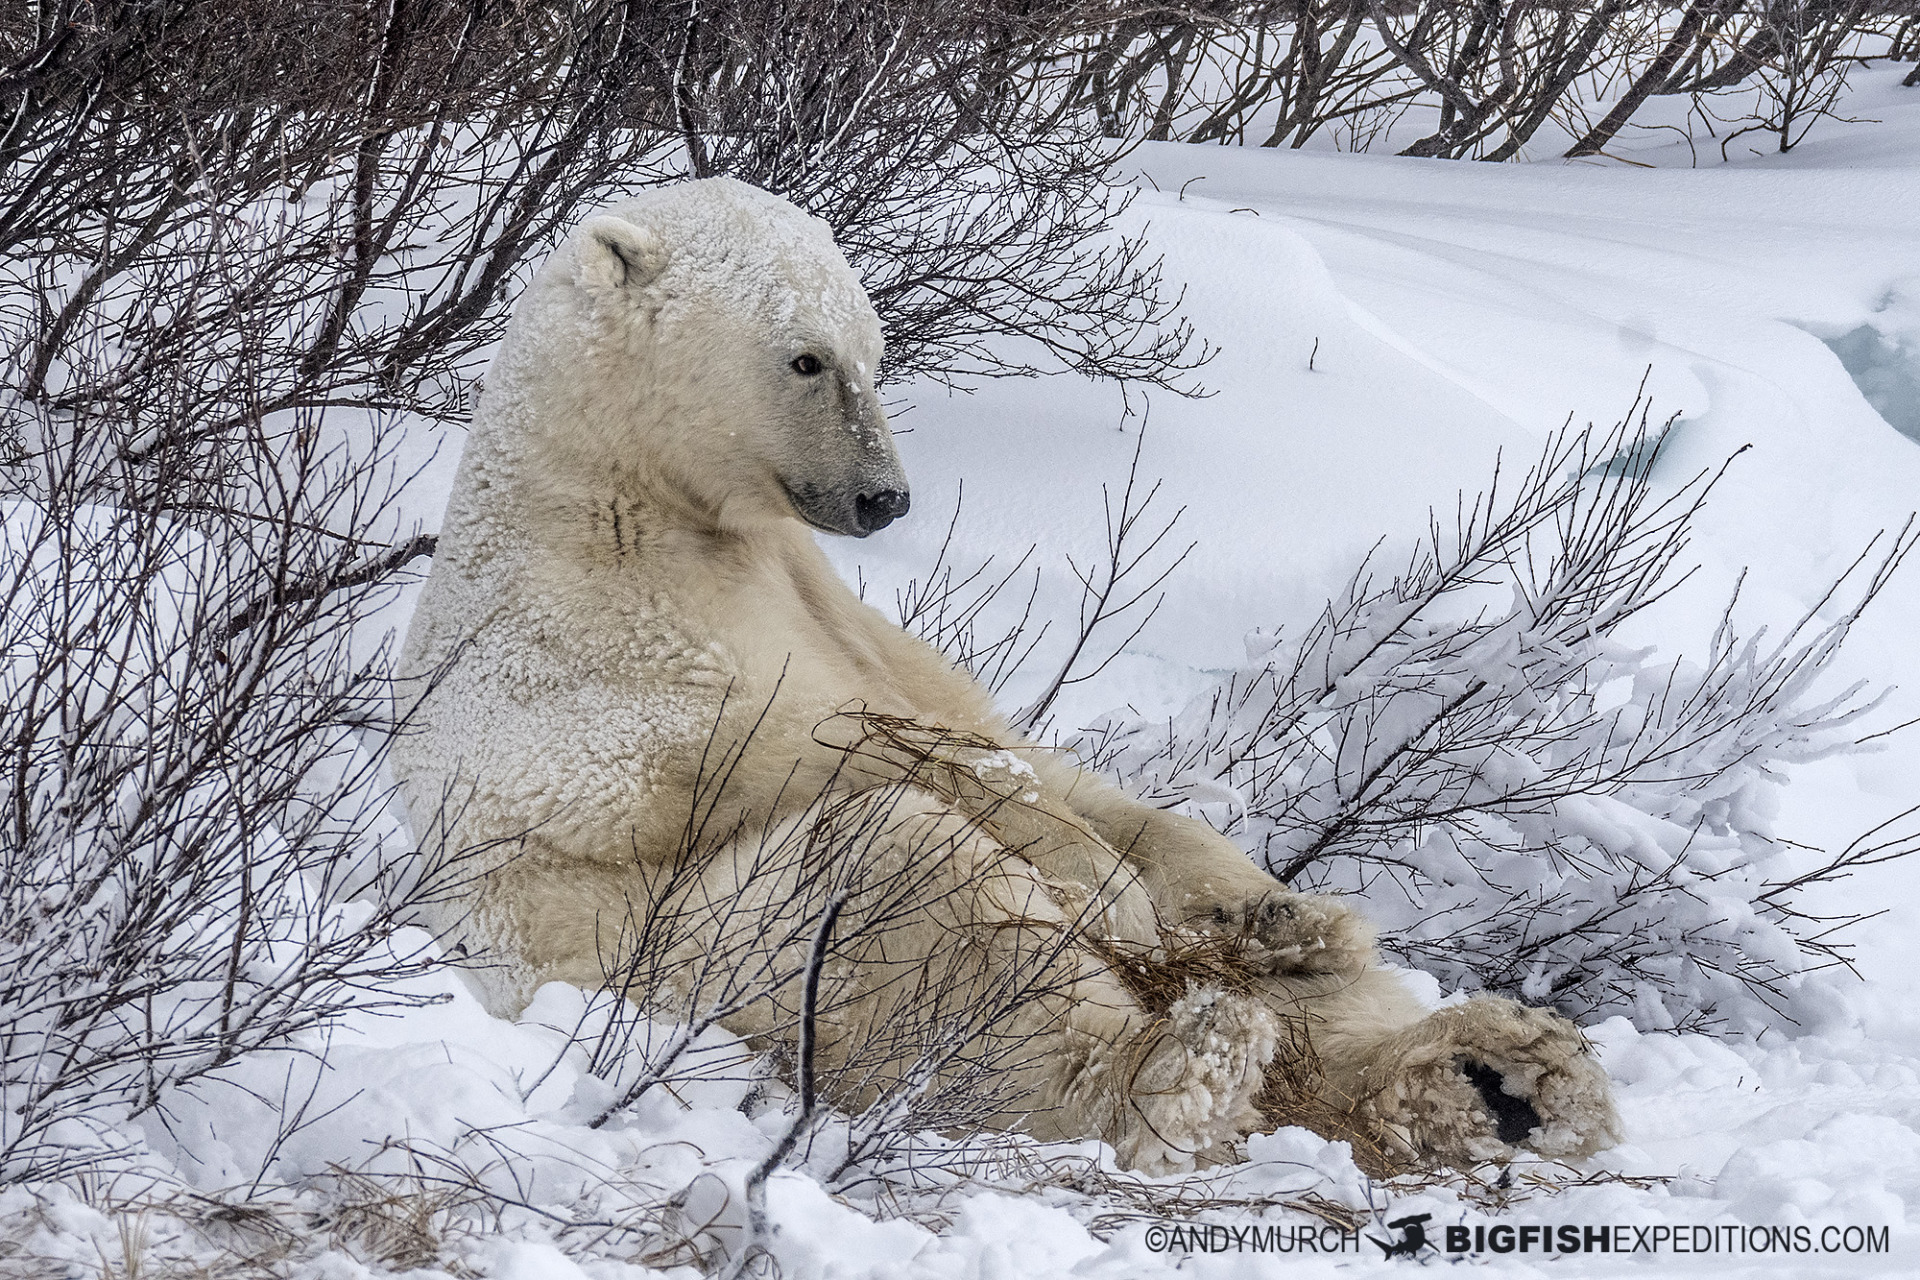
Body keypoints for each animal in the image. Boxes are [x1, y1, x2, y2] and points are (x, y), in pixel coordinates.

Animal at [394, 177, 1620, 1176]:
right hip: (696, 948)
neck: (622, 501)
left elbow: (1026, 753)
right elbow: (843, 751)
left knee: (1321, 1003)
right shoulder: (613, 660)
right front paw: (1105, 891)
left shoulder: (835, 608)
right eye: (806, 357)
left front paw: (1234, 895)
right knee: (917, 910)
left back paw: (1492, 1062)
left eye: (874, 352)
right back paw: (1186, 1064)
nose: (885, 498)